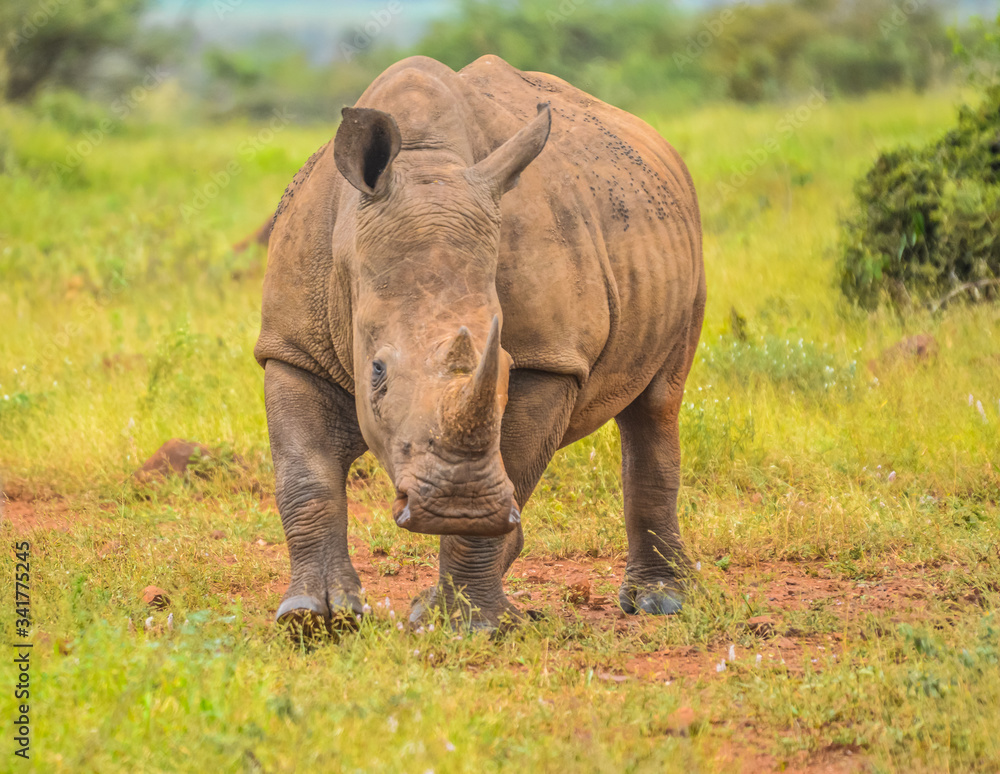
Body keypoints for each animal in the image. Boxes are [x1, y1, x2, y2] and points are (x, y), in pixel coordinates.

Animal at [255, 55, 705, 635]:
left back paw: (660, 601)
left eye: (507, 366)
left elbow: (511, 462)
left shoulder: (548, 358)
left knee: (656, 405)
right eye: (376, 370)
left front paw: (467, 625)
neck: (425, 162)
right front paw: (315, 618)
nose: (456, 503)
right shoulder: (292, 349)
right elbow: (304, 477)